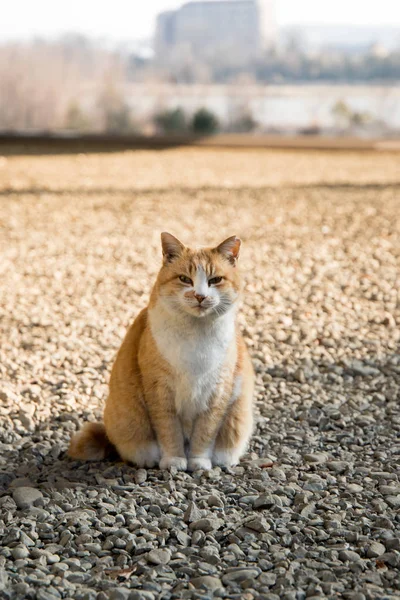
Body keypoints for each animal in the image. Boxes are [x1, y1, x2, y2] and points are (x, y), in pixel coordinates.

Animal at [69, 232, 255, 472]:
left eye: (215, 280)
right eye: (185, 279)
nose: (200, 296)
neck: (196, 334)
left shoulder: (218, 390)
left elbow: (205, 432)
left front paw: (198, 461)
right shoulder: (160, 390)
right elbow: (169, 430)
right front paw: (174, 460)